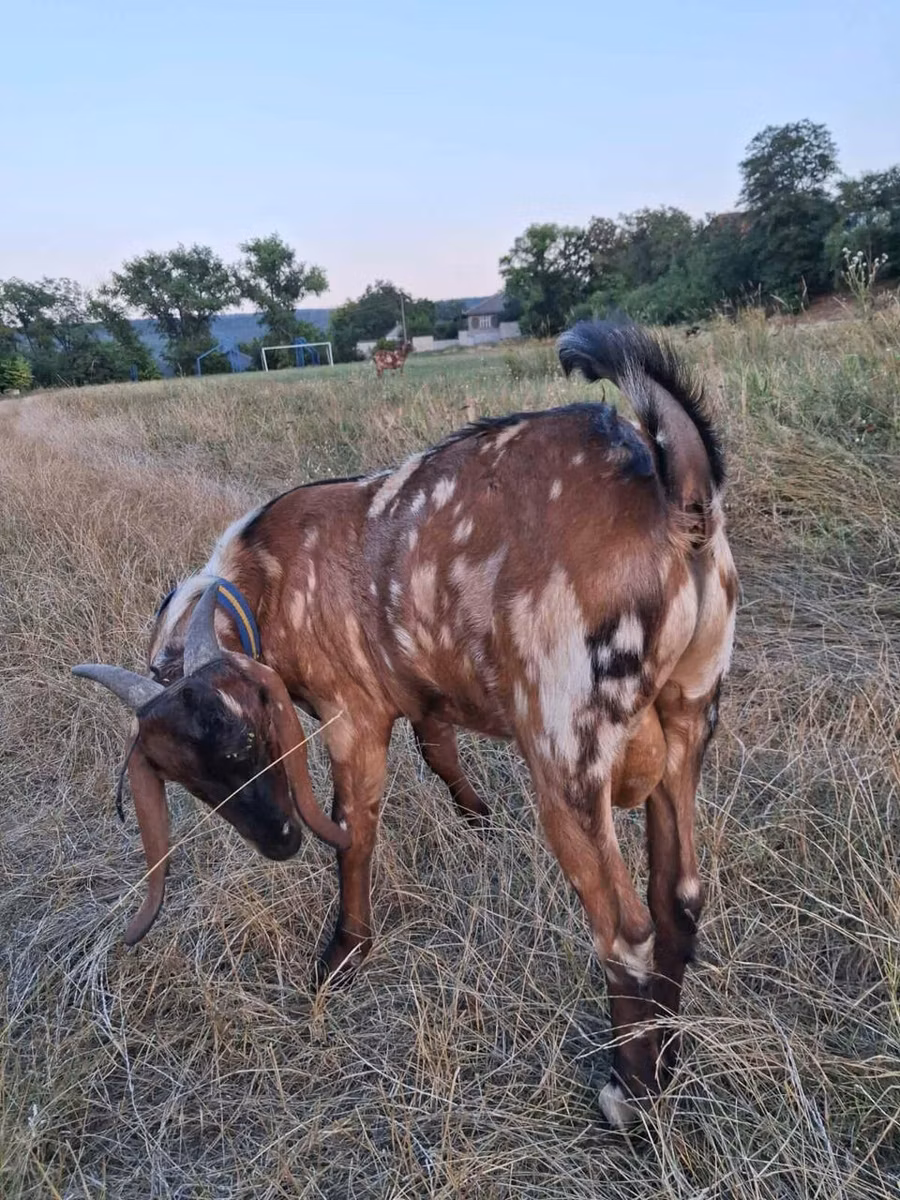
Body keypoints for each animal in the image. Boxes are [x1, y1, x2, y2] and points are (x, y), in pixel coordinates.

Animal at [74, 321, 737, 1128]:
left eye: (249, 738)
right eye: (186, 780)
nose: (278, 840)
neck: (264, 574)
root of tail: (671, 488)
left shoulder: (351, 713)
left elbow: (354, 827)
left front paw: (342, 954)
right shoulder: (423, 698)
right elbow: (441, 755)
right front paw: (480, 821)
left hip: (567, 752)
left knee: (625, 929)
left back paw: (629, 1098)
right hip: (690, 713)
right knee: (679, 897)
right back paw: (667, 1058)